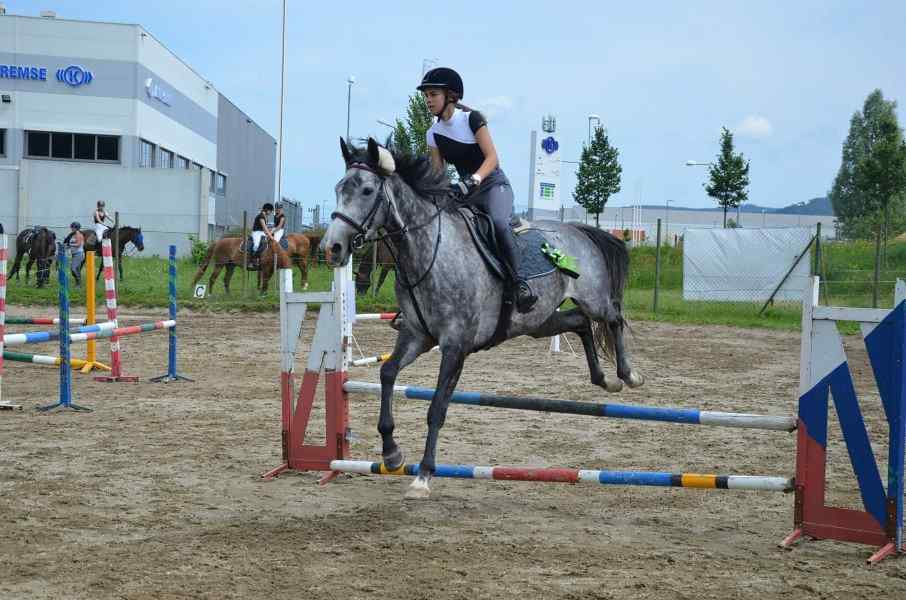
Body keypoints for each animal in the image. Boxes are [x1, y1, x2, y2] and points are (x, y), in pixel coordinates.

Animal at [322, 138, 640, 500]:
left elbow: (437, 408)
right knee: (580, 323)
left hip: (593, 298)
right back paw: (605, 379)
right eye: (339, 188)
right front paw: (392, 454)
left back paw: (628, 375)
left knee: (612, 318)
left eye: (366, 190)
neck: (427, 253)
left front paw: (423, 476)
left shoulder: (455, 346)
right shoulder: (417, 336)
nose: (332, 247)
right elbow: (387, 373)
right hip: (538, 322)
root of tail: (579, 231)